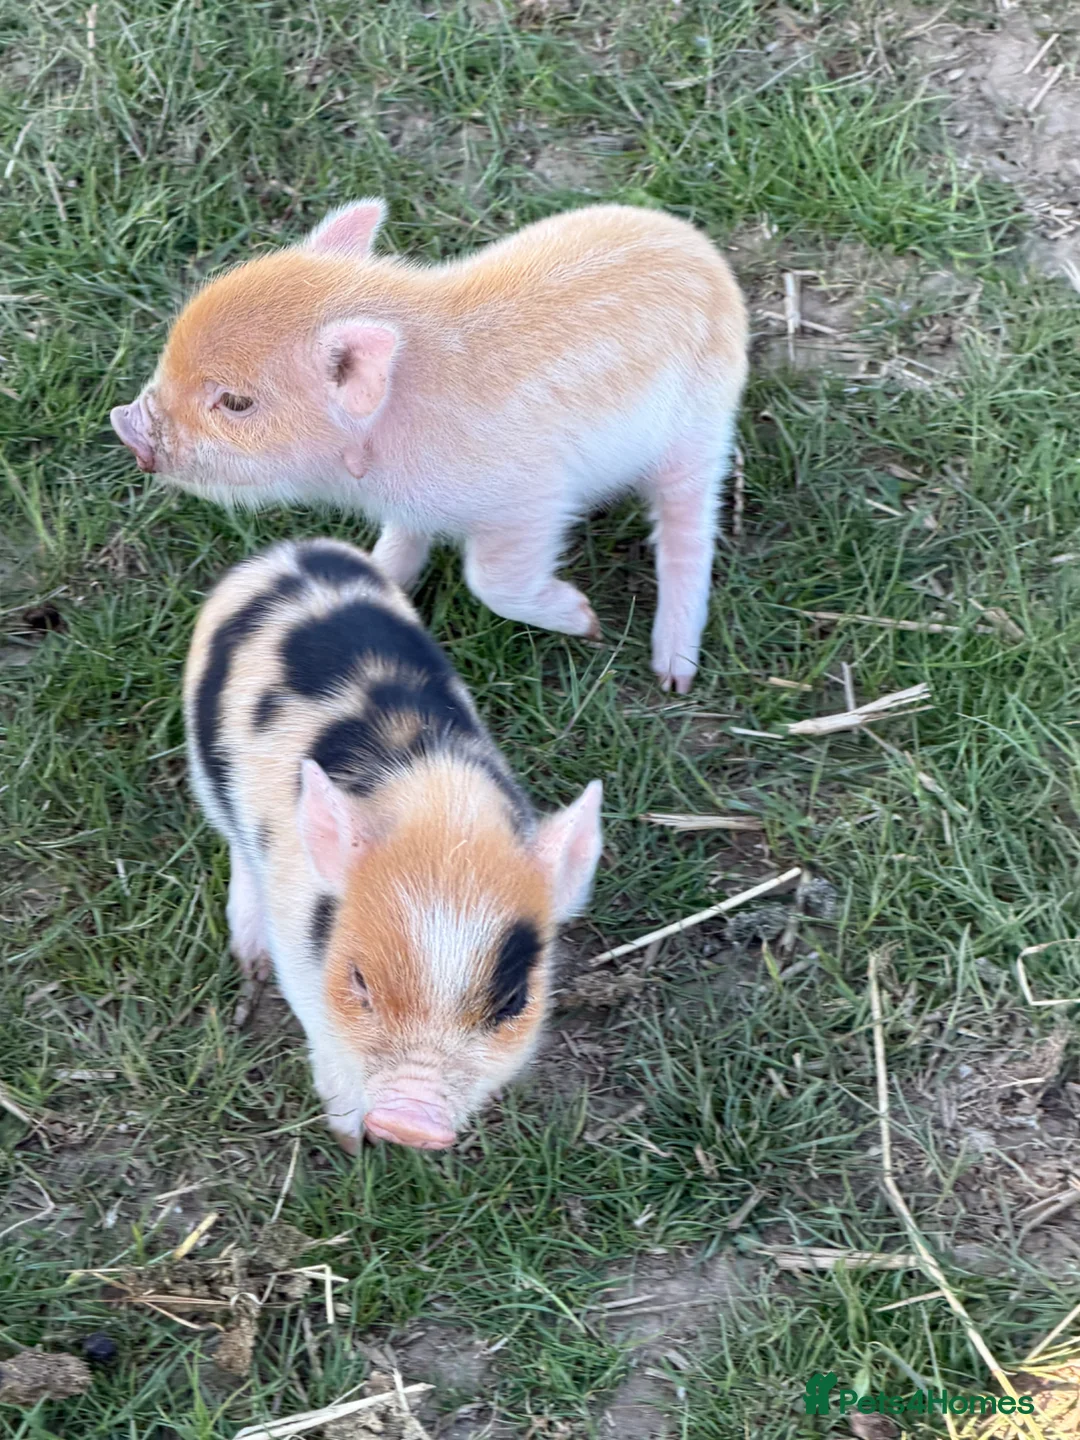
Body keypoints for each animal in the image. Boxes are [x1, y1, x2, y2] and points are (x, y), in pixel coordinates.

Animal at [114, 202, 748, 693]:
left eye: (237, 402)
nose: (125, 423)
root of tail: (711, 261)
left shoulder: (532, 501)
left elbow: (492, 582)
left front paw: (589, 624)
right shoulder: (410, 506)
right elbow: (394, 555)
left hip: (699, 431)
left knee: (690, 531)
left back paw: (673, 675)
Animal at [182, 537, 603, 1151]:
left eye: (514, 1001)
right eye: (359, 981)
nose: (412, 1121)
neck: (444, 815)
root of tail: (289, 553)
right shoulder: (299, 953)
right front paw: (350, 1143)